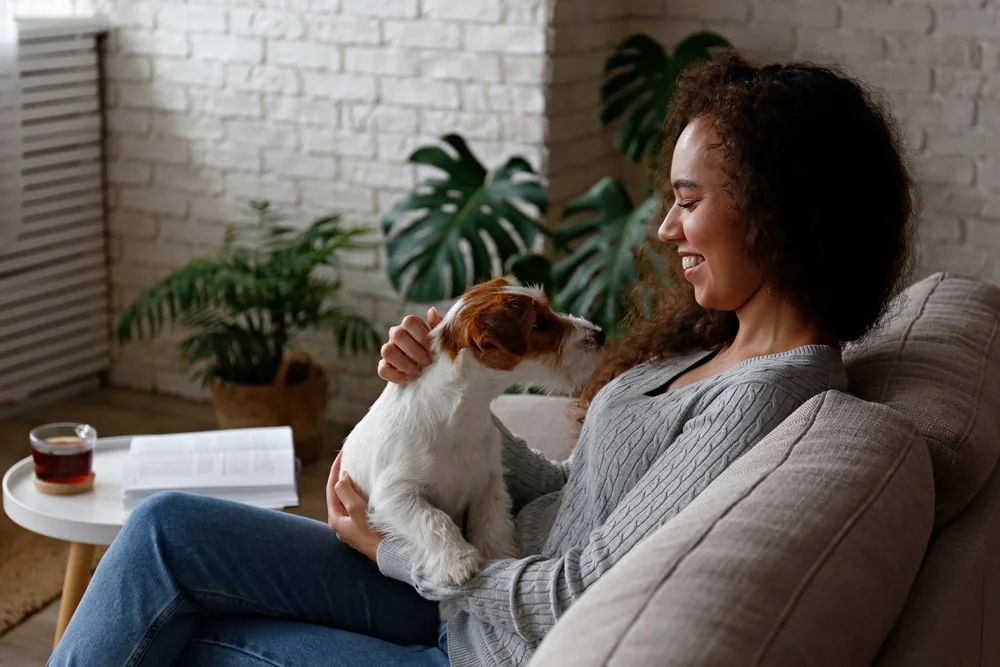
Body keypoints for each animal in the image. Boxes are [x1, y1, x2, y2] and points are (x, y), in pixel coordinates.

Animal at [340, 276, 604, 584]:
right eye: (539, 324)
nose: (600, 334)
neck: (461, 416)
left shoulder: (489, 481)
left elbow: (492, 521)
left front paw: (498, 555)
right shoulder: (395, 494)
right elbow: (432, 519)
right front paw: (457, 559)